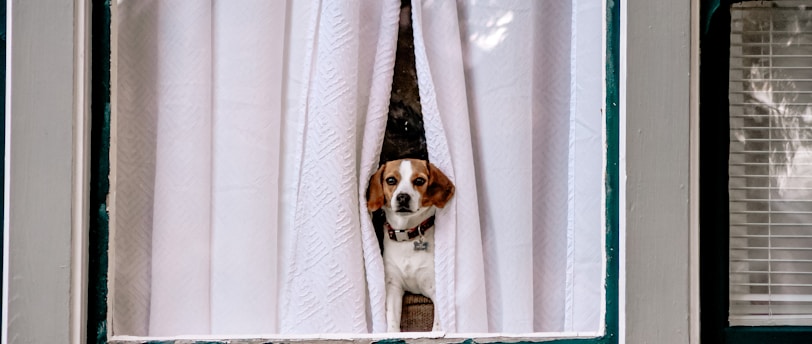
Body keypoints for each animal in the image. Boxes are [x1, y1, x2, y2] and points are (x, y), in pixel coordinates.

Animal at [366, 159, 454, 334]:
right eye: (391, 180)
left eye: (419, 181)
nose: (402, 197)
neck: (407, 235)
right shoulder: (393, 287)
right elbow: (392, 321)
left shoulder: (434, 288)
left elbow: (438, 324)